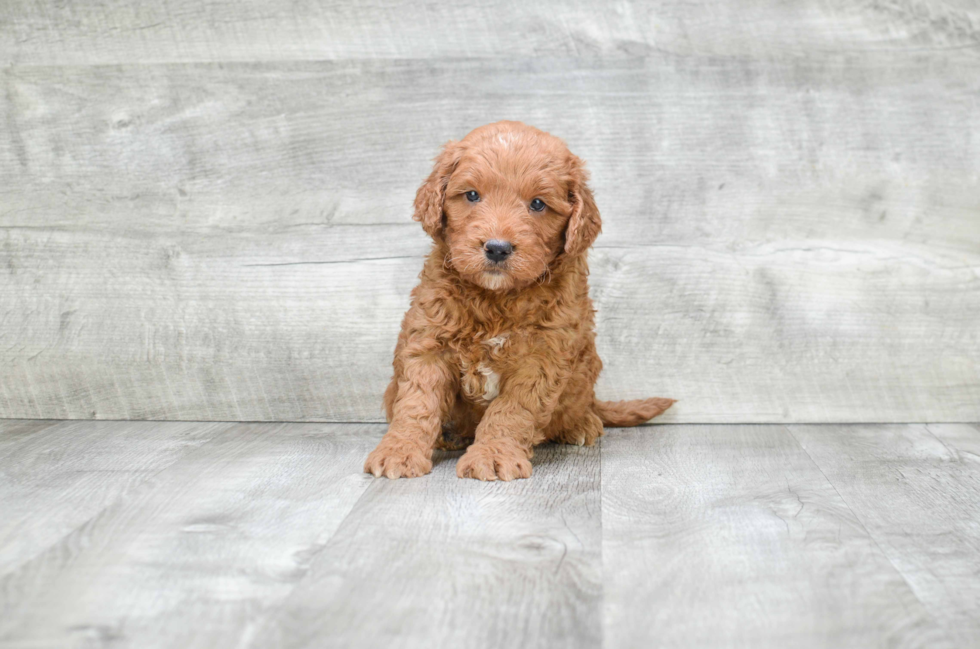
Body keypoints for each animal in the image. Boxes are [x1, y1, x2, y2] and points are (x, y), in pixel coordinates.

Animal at [364, 120, 668, 480]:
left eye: (537, 204)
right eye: (471, 195)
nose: (497, 248)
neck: (495, 299)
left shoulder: (541, 357)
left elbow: (511, 410)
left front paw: (494, 455)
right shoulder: (428, 343)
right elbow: (417, 403)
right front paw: (399, 450)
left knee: (578, 406)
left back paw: (580, 424)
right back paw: (448, 436)